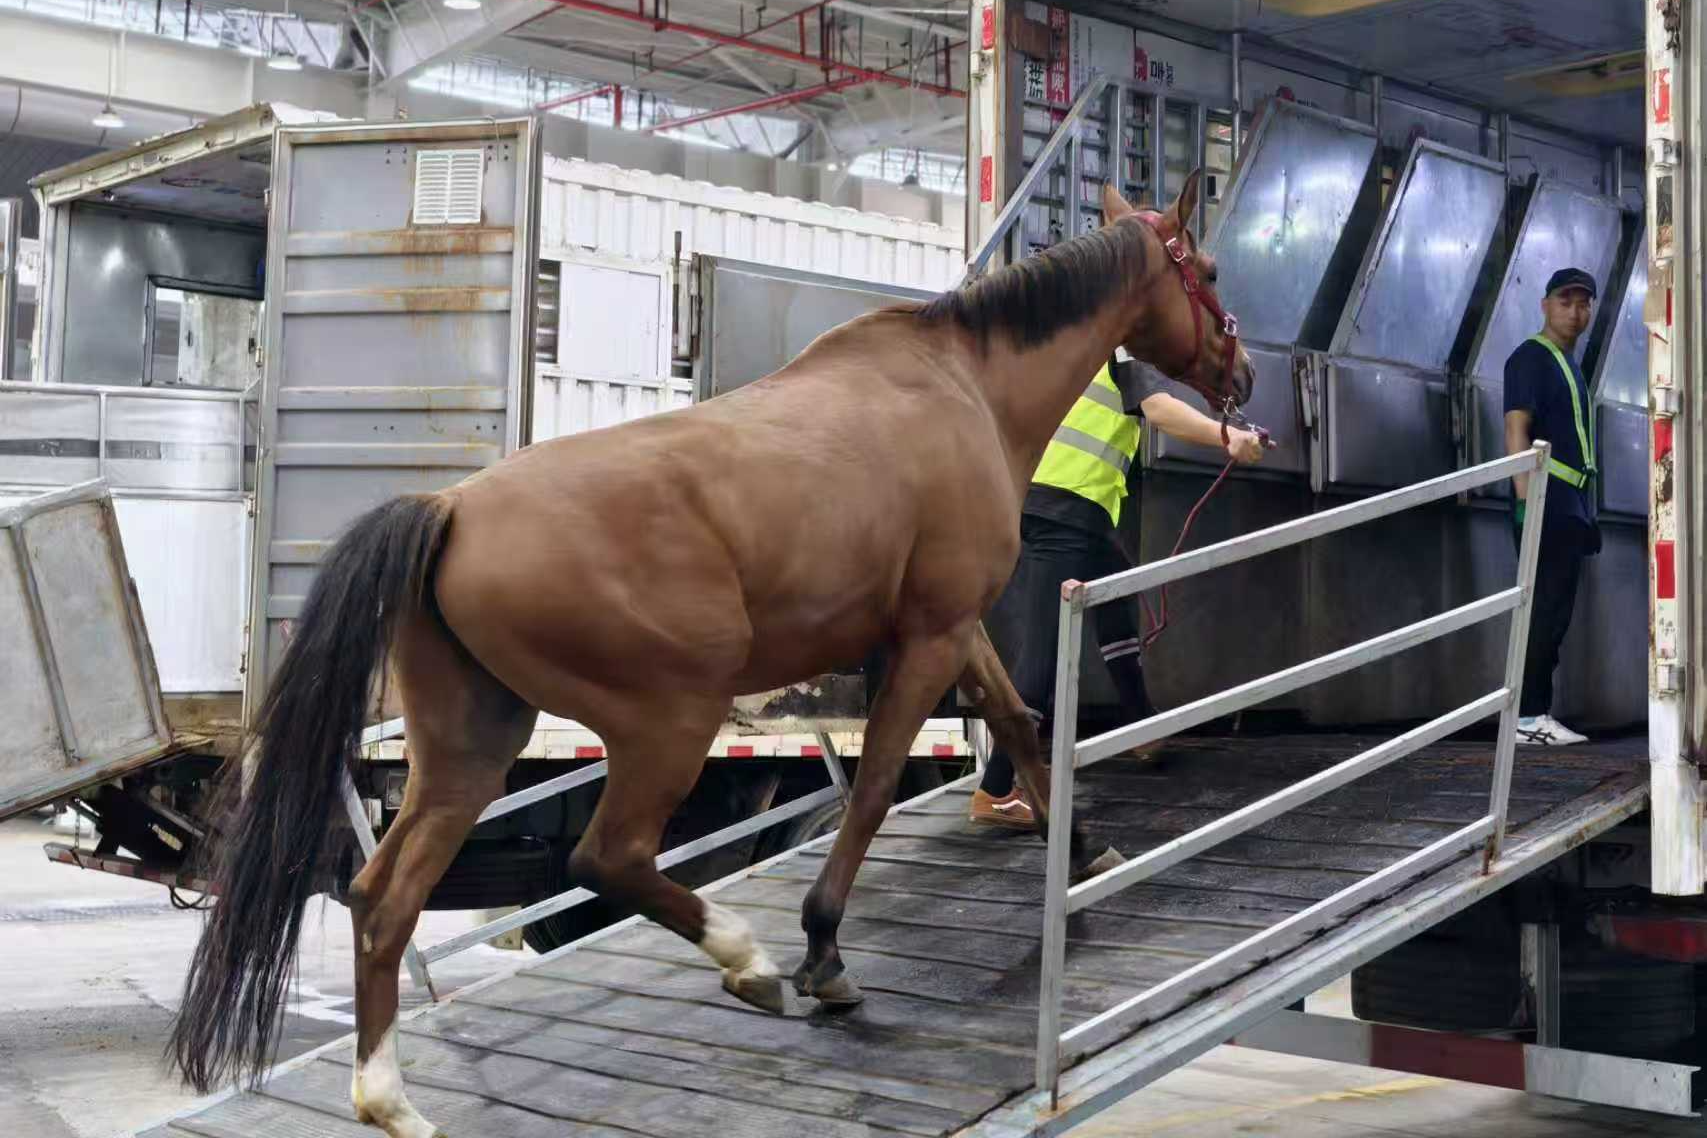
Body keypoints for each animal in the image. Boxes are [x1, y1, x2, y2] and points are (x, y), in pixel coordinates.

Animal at [168, 174, 1251, 1138]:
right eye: (1202, 268)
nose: (1239, 377)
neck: (963, 387)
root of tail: (449, 509)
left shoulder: (955, 628)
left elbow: (1022, 725)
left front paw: (1087, 847)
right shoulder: (930, 635)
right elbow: (875, 785)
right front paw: (823, 951)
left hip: (472, 743)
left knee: (382, 899)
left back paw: (390, 1100)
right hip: (668, 721)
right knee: (605, 857)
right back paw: (749, 961)